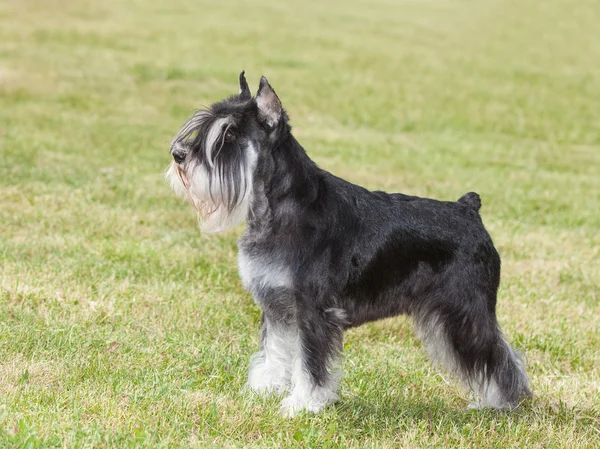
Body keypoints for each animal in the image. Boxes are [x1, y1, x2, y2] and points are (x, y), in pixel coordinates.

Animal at [164, 71, 528, 416]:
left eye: (229, 135)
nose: (178, 154)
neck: (279, 207)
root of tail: (469, 208)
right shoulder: (277, 305)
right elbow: (275, 350)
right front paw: (265, 389)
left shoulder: (313, 310)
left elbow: (308, 362)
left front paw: (303, 404)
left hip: (465, 311)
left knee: (499, 356)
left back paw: (502, 403)